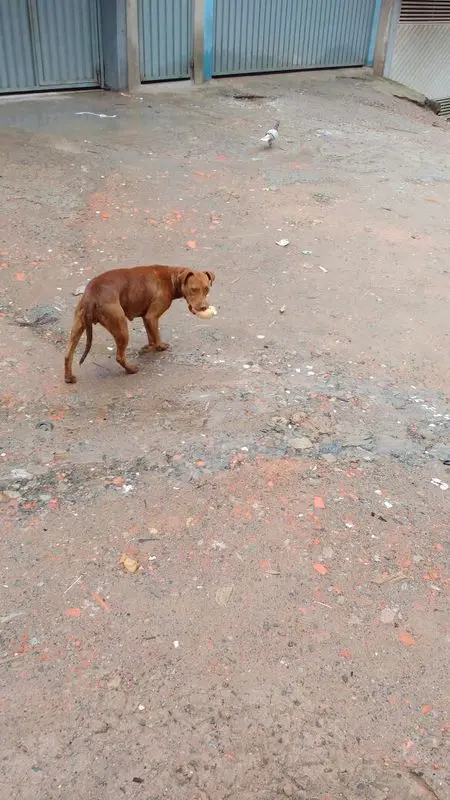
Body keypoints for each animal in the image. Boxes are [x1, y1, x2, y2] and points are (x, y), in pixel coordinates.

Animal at [63, 266, 216, 384]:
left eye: (207, 289)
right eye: (193, 289)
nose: (204, 307)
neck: (172, 278)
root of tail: (92, 295)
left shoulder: (147, 318)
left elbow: (151, 336)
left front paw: (149, 347)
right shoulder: (152, 316)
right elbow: (156, 338)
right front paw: (158, 348)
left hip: (77, 328)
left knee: (68, 355)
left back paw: (69, 377)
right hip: (121, 328)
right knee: (119, 356)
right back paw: (131, 370)